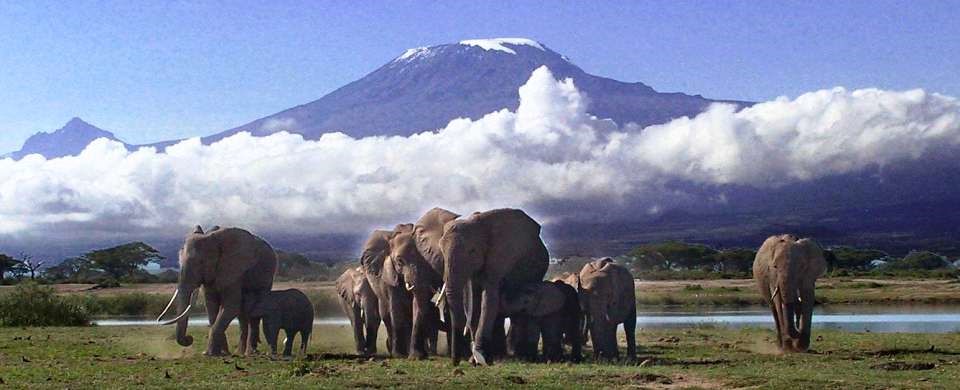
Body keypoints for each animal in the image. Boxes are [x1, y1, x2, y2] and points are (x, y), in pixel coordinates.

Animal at [154, 225, 276, 356]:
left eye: (201, 262)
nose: (189, 338)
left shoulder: (234, 270)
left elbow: (231, 306)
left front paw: (210, 353)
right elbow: (211, 307)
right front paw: (221, 353)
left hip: (267, 276)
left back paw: (249, 353)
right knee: (242, 315)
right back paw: (239, 353)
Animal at [440, 209, 548, 364]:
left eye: (472, 251)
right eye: (441, 251)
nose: (455, 363)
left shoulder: (498, 259)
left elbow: (489, 300)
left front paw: (480, 358)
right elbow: (475, 303)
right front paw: (474, 360)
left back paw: (519, 355)